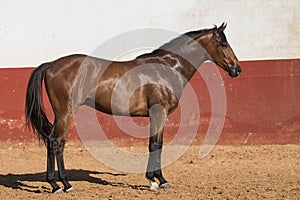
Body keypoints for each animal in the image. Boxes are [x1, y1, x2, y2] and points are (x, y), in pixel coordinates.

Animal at [25, 23, 241, 194]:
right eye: (223, 44)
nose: (237, 69)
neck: (167, 69)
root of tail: (51, 65)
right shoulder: (159, 113)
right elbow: (155, 146)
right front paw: (157, 180)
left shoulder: (157, 115)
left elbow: (156, 144)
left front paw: (155, 179)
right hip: (66, 113)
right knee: (56, 142)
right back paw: (61, 185)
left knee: (53, 142)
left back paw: (57, 183)